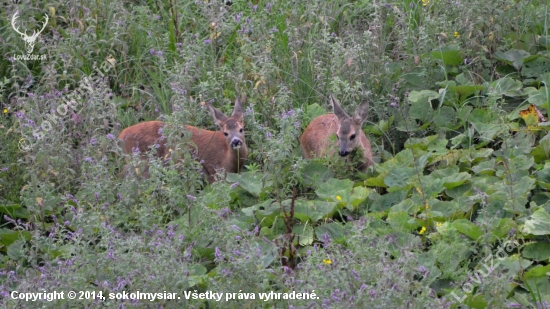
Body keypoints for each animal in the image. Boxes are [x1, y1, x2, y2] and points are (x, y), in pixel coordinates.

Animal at [118, 96, 248, 182]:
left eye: (241, 129)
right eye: (225, 133)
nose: (236, 141)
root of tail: (120, 136)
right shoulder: (214, 173)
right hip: (143, 163)